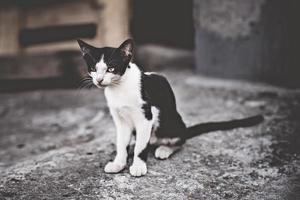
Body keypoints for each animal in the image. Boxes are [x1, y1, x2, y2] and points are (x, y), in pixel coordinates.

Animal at [77, 38, 262, 176]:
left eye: (111, 68)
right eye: (93, 68)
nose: (99, 80)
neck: (119, 88)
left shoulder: (146, 117)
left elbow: (141, 147)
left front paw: (138, 165)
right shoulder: (120, 120)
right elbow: (121, 143)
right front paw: (118, 163)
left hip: (170, 121)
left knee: (180, 140)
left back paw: (165, 149)